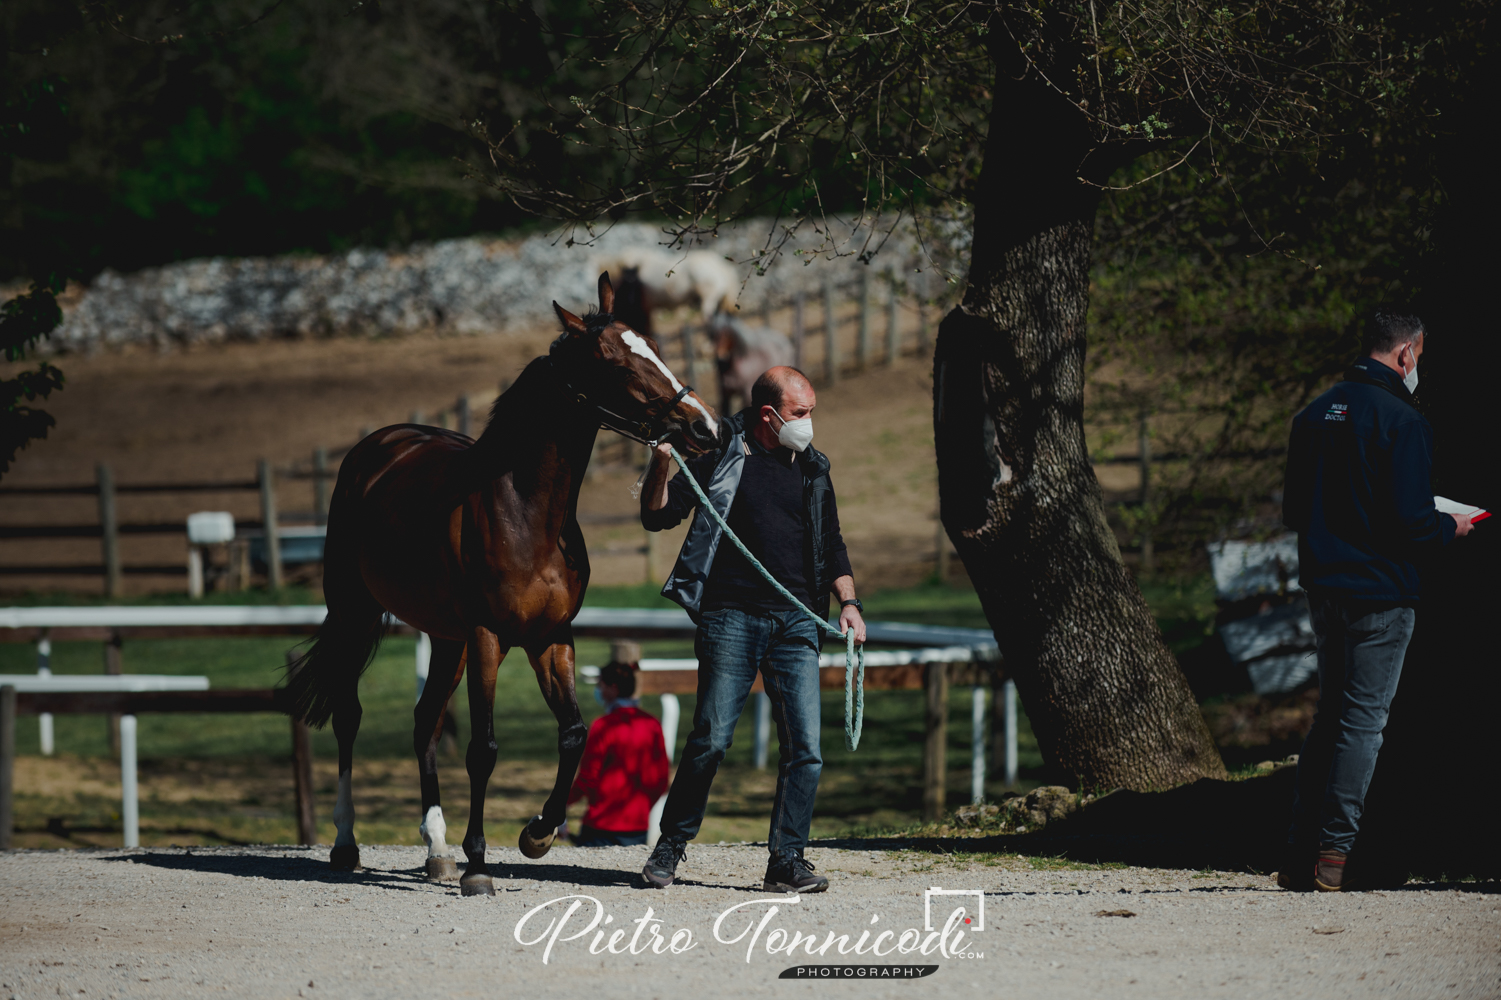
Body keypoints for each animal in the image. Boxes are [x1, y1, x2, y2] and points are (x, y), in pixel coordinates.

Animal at [288, 274, 726, 894]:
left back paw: (436, 850)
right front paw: (478, 864)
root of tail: (378, 446)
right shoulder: (488, 636)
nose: (705, 426)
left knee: (424, 722)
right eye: (616, 362)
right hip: (356, 612)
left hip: (444, 638)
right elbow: (483, 748)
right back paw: (348, 843)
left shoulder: (550, 638)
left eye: (655, 346)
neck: (525, 510)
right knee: (350, 714)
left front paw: (536, 834)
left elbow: (574, 732)